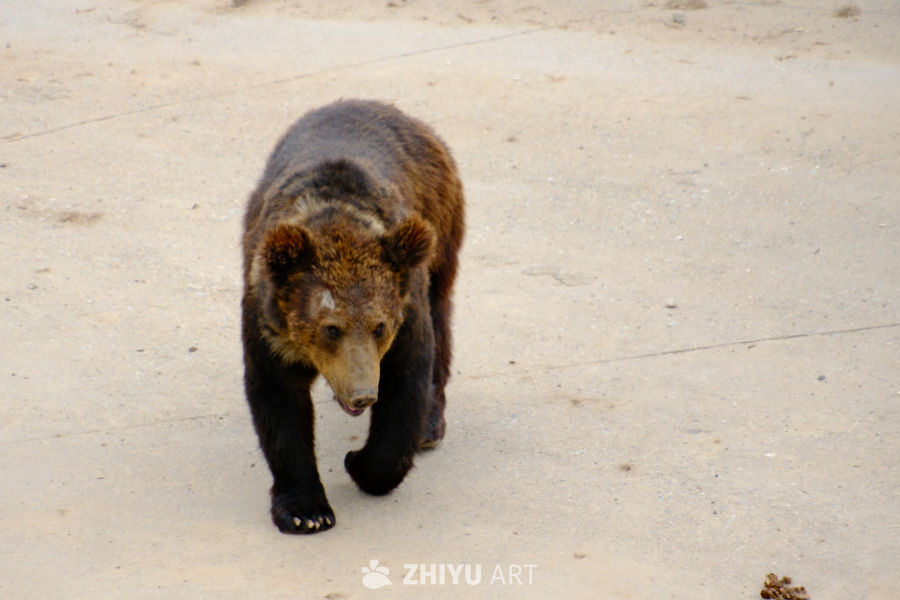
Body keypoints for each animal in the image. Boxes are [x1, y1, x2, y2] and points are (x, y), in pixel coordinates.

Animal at [241, 99, 464, 534]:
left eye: (380, 325)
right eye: (331, 327)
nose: (362, 393)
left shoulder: (405, 310)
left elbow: (406, 384)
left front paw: (360, 462)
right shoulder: (268, 321)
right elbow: (279, 403)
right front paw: (306, 512)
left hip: (439, 227)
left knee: (441, 315)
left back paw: (430, 426)